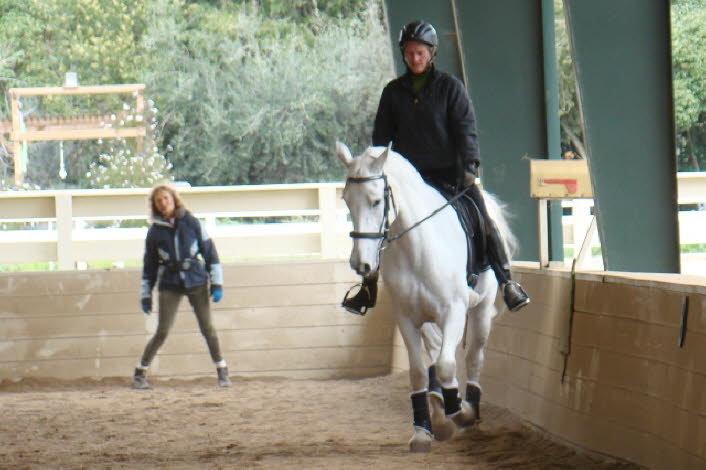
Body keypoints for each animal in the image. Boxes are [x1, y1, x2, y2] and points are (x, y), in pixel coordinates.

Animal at [336, 142, 516, 452]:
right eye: (347, 201)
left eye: (376, 201)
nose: (361, 264)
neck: (415, 249)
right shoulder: (407, 319)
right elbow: (419, 371)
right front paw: (423, 430)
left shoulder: (454, 311)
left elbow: (447, 365)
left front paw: (460, 412)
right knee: (435, 355)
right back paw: (438, 408)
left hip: (480, 311)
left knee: (473, 356)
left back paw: (469, 409)